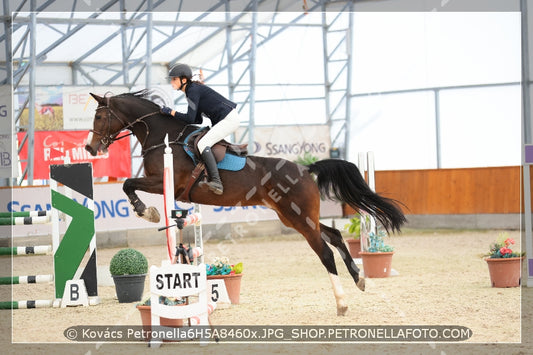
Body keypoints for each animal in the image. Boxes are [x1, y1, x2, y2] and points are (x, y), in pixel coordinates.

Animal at [85, 90, 406, 316]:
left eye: (99, 117)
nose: (90, 147)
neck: (164, 137)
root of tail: (305, 169)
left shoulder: (164, 183)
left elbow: (128, 184)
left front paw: (147, 211)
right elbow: (129, 184)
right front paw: (148, 212)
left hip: (300, 218)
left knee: (325, 252)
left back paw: (341, 303)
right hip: (294, 217)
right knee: (336, 235)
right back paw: (359, 279)